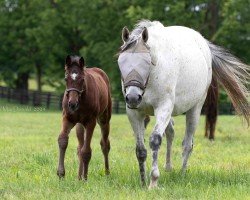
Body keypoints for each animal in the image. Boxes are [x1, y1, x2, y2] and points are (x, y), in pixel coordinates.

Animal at [117, 19, 250, 188]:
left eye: (147, 62)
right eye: (121, 62)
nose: (133, 97)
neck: (154, 75)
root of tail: (203, 43)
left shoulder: (163, 108)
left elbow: (155, 140)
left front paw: (153, 181)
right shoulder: (134, 113)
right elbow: (140, 149)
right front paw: (142, 182)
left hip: (195, 110)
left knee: (187, 143)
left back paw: (181, 174)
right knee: (170, 133)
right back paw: (168, 167)